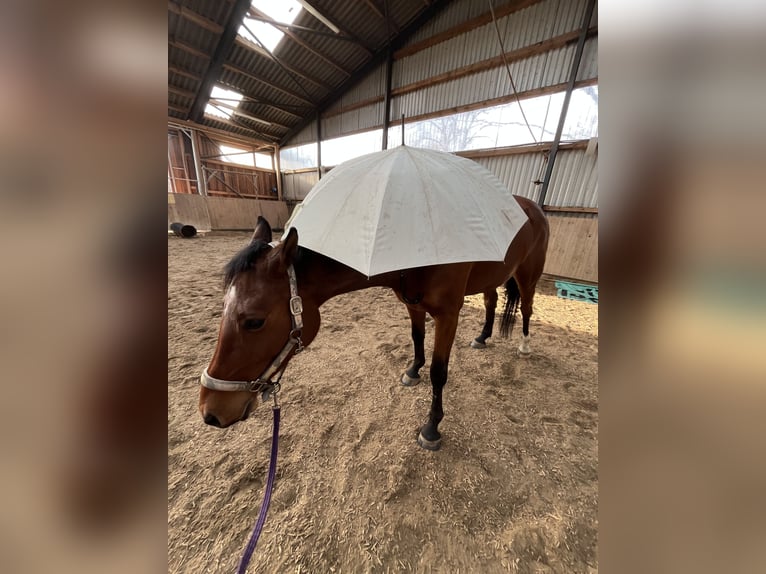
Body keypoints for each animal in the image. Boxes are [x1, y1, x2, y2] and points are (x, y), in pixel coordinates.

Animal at [199, 195, 549, 450]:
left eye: (254, 321)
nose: (210, 412)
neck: (418, 243)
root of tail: (533, 208)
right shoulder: (413, 304)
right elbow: (417, 338)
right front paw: (413, 371)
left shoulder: (449, 314)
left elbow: (439, 373)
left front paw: (431, 427)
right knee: (491, 301)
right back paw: (483, 336)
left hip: (528, 275)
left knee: (527, 307)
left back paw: (525, 345)